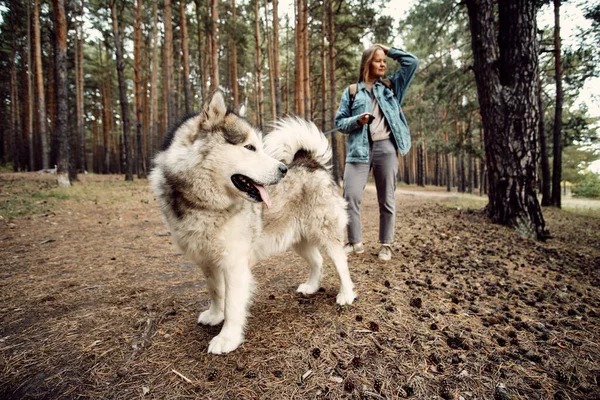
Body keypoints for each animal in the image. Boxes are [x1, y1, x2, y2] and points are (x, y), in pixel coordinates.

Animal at [150, 90, 356, 354]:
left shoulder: (234, 263)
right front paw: (215, 315)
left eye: (258, 146)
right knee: (318, 261)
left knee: (341, 263)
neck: (205, 204)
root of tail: (309, 161)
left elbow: (232, 304)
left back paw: (346, 294)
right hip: (297, 240)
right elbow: (216, 291)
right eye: (249, 147)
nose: (283, 170)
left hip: (325, 233)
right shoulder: (207, 261)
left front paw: (227, 338)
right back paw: (311, 287)